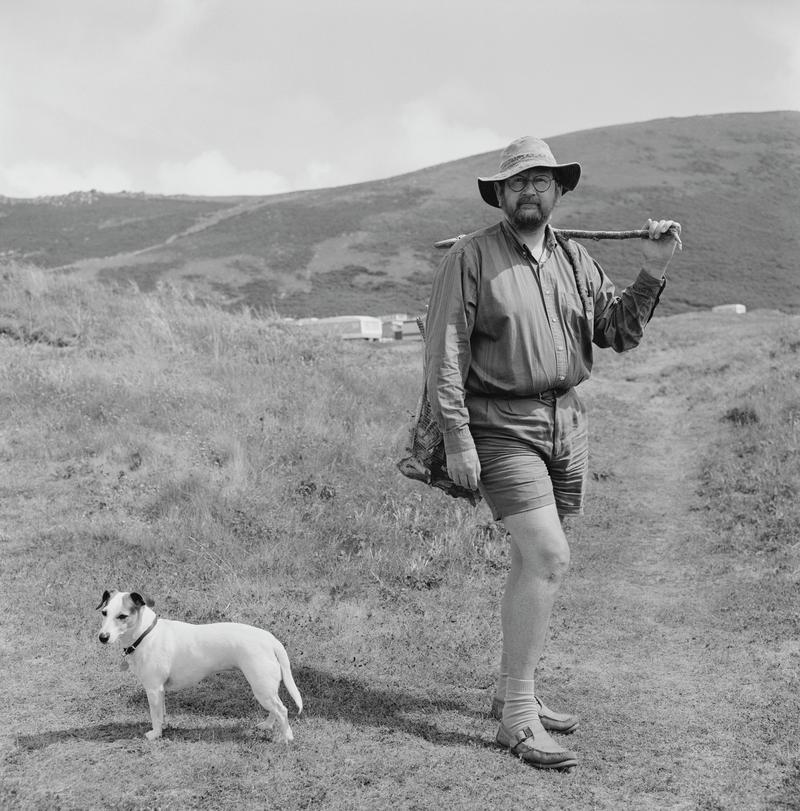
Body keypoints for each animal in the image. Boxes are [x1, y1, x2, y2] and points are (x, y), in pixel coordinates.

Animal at [96, 588, 304, 744]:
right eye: (104, 613)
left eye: (122, 616)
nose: (102, 637)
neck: (145, 634)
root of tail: (270, 639)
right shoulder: (160, 690)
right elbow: (161, 712)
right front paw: (163, 727)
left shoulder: (153, 689)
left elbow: (155, 715)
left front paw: (155, 734)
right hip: (266, 688)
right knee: (275, 709)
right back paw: (267, 725)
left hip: (261, 687)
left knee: (282, 710)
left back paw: (286, 737)